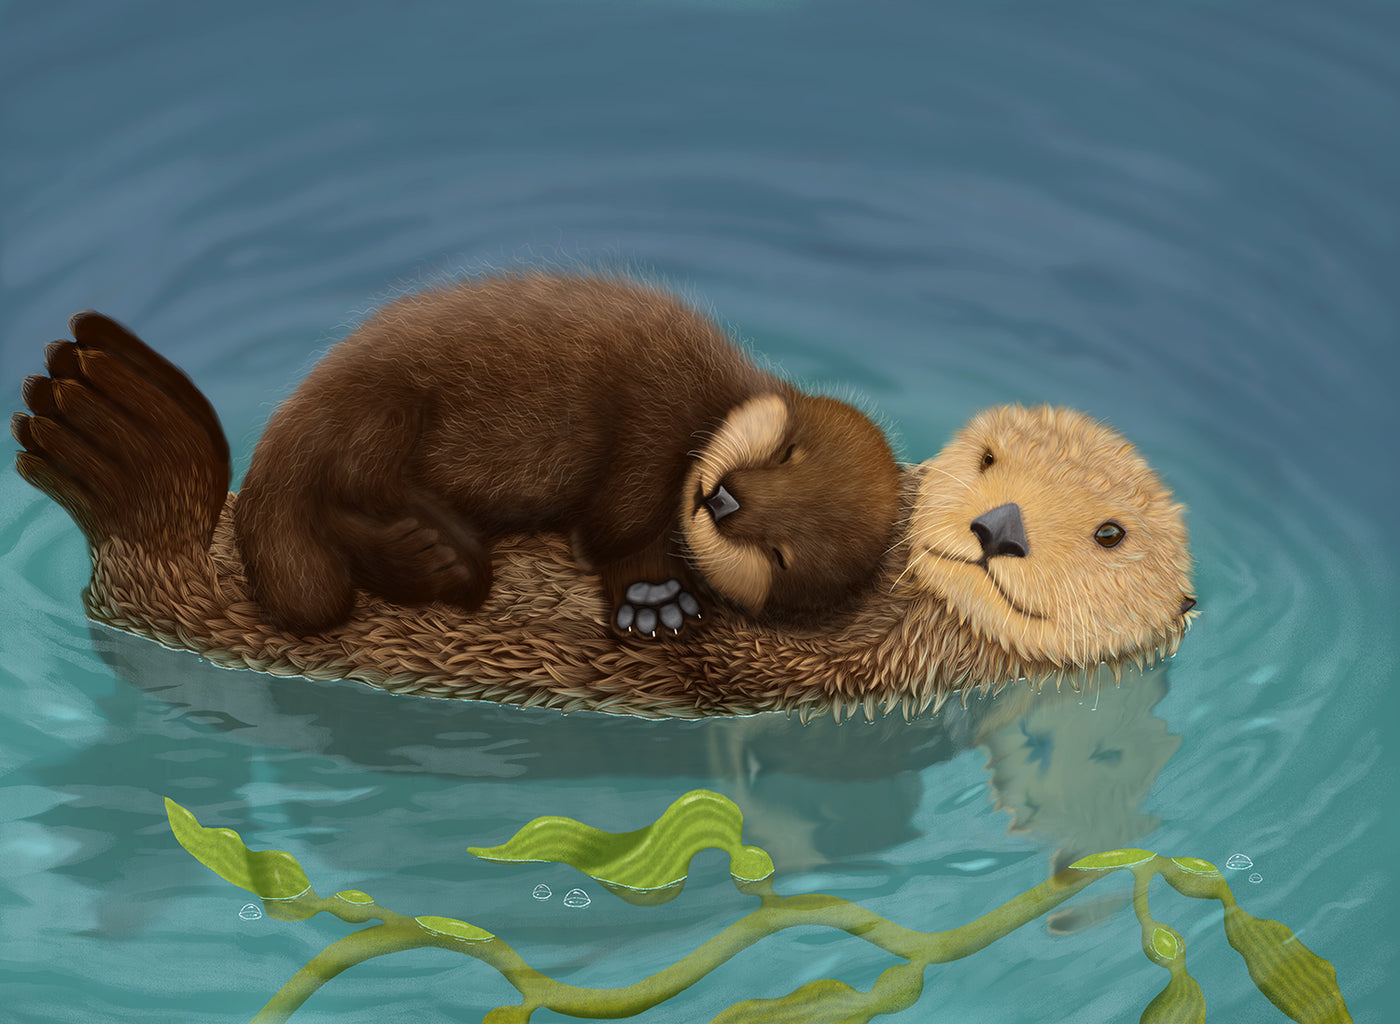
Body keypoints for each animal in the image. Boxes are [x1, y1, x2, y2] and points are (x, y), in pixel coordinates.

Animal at [233, 273, 902, 638]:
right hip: (383, 407)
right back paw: (438, 549)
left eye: (780, 555)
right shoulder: (654, 396)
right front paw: (649, 587)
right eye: (789, 453)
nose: (723, 500)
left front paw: (657, 595)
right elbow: (622, 510)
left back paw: (429, 557)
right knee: (354, 482)